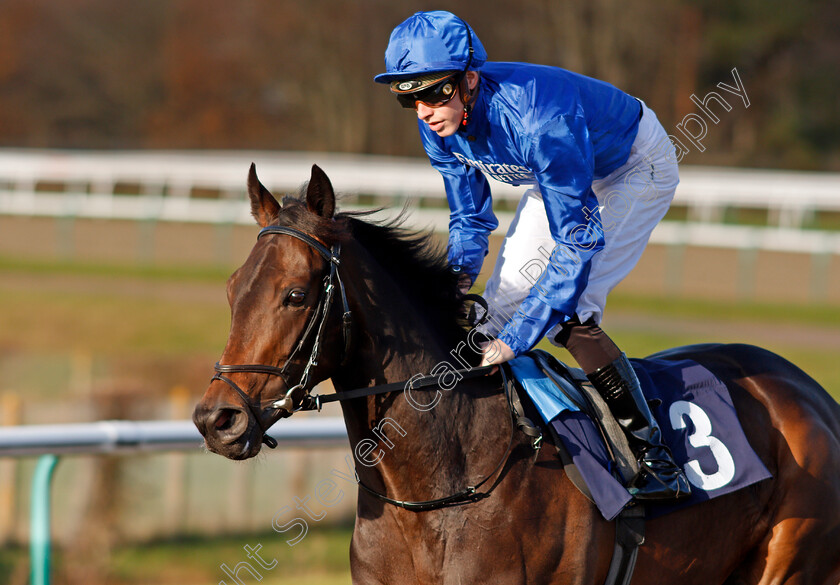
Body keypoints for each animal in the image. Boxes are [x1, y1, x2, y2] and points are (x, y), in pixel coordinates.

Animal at [194, 164, 840, 584]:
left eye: (296, 295)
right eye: (231, 290)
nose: (216, 419)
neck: (441, 488)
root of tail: (812, 394)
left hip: (789, 565)